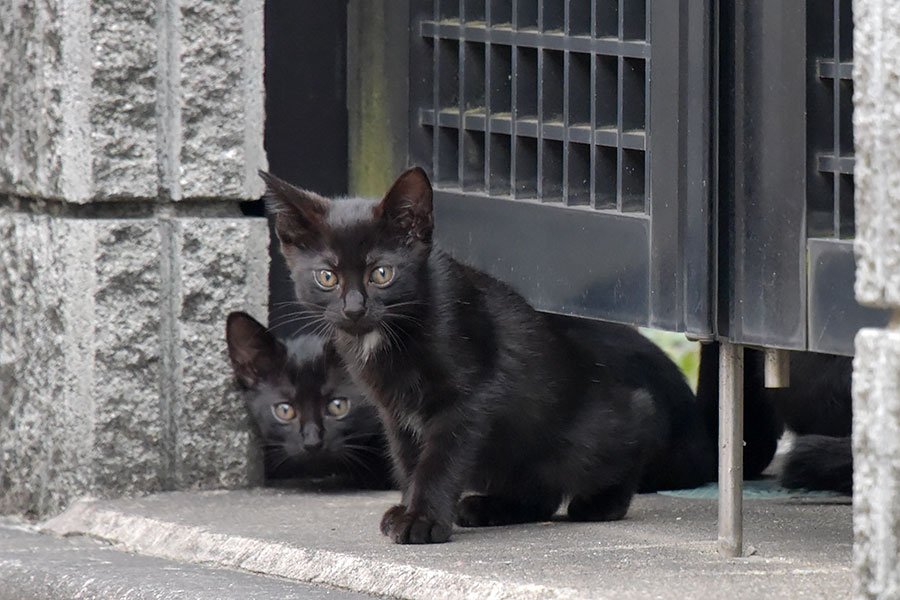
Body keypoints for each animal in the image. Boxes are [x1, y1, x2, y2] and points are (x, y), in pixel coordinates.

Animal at [260, 165, 716, 544]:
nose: (354, 309)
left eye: (381, 274)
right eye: (327, 276)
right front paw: (410, 508)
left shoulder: (467, 399)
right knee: (541, 493)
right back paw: (488, 507)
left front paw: (422, 520)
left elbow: (439, 461)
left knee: (631, 426)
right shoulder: (395, 414)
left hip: (588, 432)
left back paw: (600, 502)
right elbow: (409, 462)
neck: (388, 339)